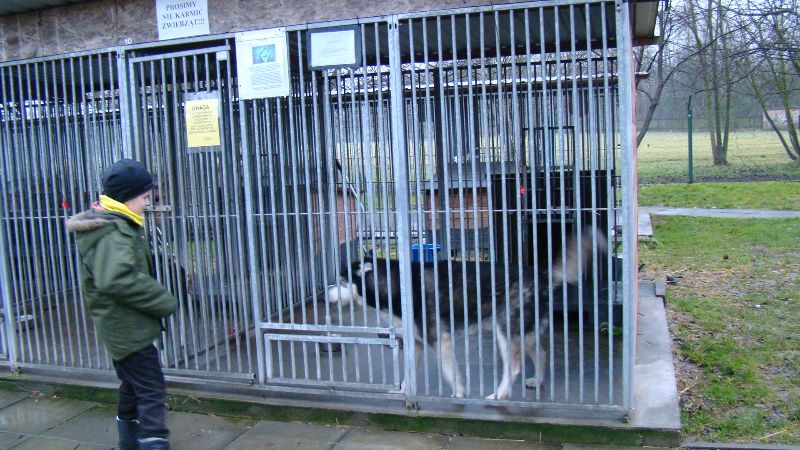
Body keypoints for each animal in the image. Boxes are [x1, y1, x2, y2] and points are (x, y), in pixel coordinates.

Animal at [326, 227, 605, 400]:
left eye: (340, 281)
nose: (324, 294)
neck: (399, 285)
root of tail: (542, 275)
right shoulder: (416, 344)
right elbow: (408, 376)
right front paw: (404, 392)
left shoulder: (440, 339)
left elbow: (450, 373)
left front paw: (459, 394)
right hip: (524, 330)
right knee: (542, 353)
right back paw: (537, 380)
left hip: (505, 330)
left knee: (514, 367)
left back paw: (500, 395)